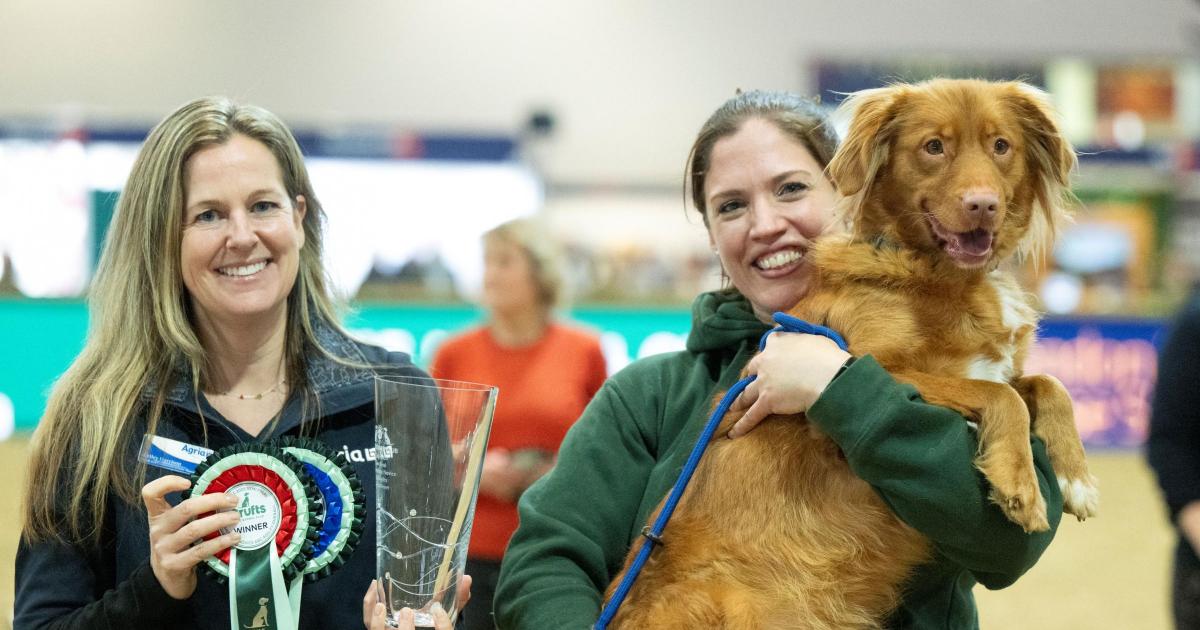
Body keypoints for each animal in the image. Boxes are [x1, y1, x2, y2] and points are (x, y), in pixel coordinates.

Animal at [609, 78, 1099, 628]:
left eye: (1001, 146)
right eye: (934, 147)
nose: (983, 204)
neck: (935, 273)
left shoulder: (992, 367)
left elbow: (1047, 385)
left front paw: (1074, 475)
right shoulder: (880, 368)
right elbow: (1002, 396)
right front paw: (1020, 483)